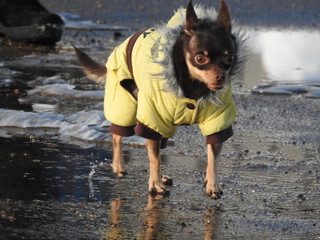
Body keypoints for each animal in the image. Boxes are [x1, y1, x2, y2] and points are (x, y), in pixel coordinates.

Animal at [75, 0, 244, 199]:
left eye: (229, 58)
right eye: (200, 58)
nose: (220, 77)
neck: (193, 87)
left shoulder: (216, 122)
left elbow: (212, 157)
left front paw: (212, 184)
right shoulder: (153, 118)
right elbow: (154, 158)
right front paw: (154, 185)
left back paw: (162, 175)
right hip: (126, 104)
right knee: (117, 135)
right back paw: (119, 165)